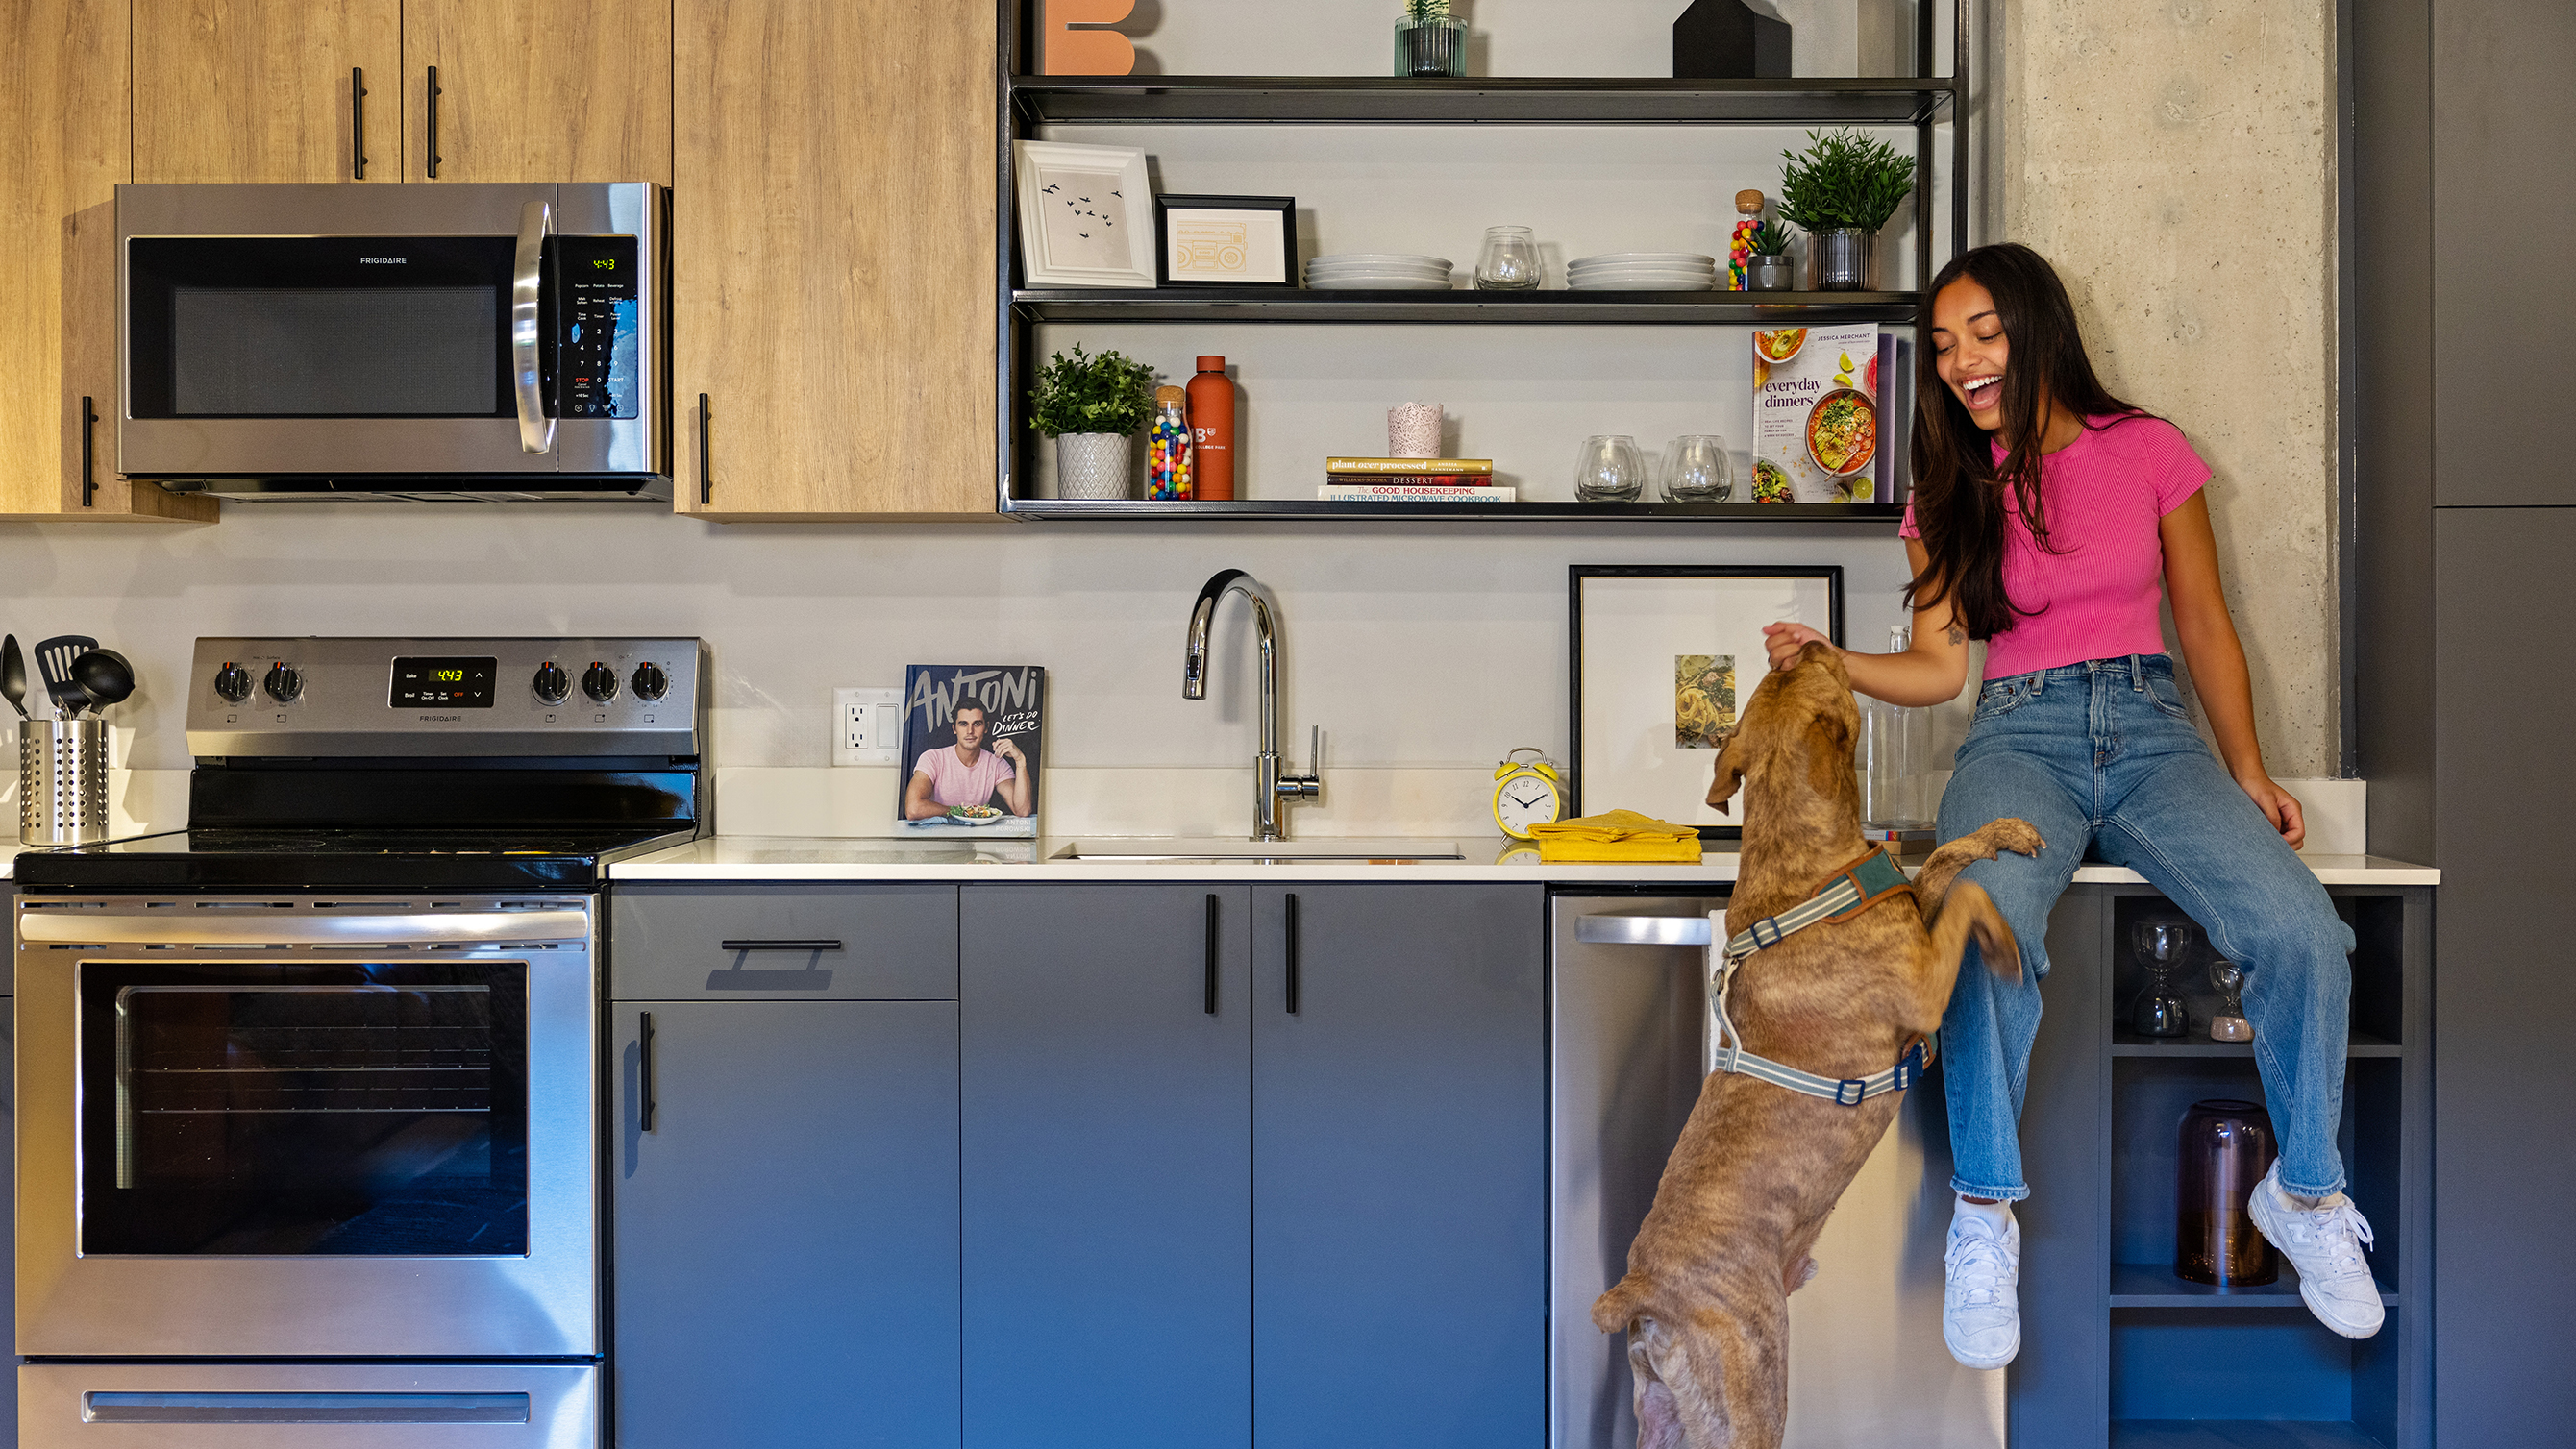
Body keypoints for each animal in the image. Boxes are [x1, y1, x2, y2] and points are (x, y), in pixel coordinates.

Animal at [1586, 646, 2029, 1449]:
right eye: (1820, 667)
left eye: (1778, 673)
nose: (1805, 642)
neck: (1802, 872)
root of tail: (1642, 1292)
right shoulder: (1925, 982)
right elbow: (1971, 898)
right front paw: (2006, 945)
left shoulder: (1917, 912)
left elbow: (1946, 861)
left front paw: (2001, 833)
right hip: (1756, 1379)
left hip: (1663, 1415)